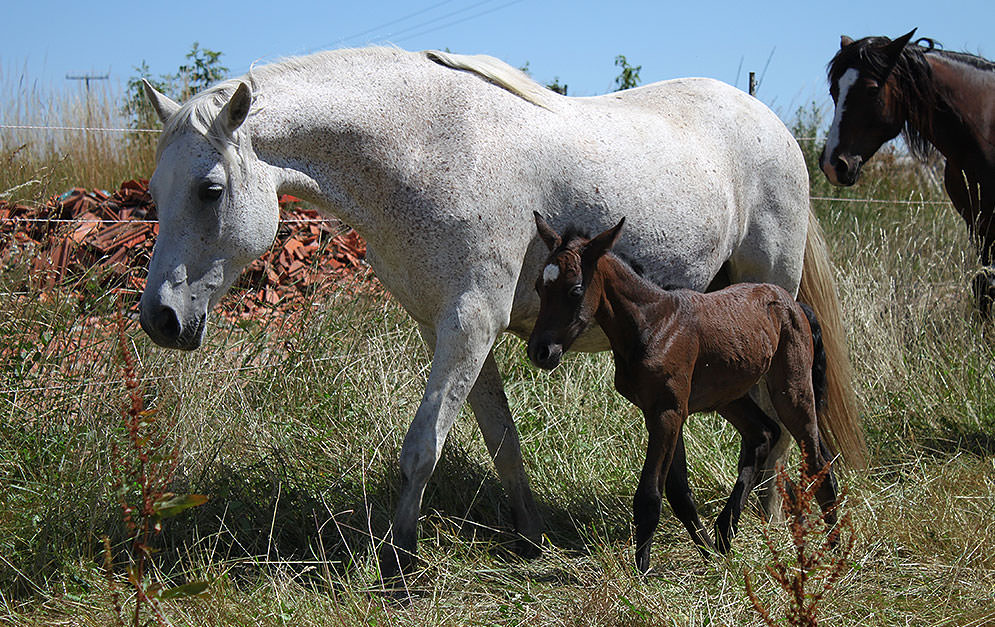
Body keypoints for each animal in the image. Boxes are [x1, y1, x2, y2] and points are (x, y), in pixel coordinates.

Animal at [528, 216, 840, 576]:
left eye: (575, 290)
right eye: (538, 286)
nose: (540, 352)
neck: (654, 324)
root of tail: (794, 304)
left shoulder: (669, 411)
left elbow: (650, 493)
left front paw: (642, 571)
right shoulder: (662, 412)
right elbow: (678, 492)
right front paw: (708, 553)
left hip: (791, 389)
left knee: (817, 460)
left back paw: (835, 548)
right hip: (728, 395)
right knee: (763, 434)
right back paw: (725, 533)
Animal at [820, 29, 995, 314]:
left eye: (872, 90)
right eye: (835, 90)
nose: (833, 165)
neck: (984, 127)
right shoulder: (979, 224)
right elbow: (983, 286)